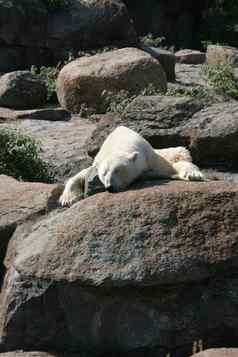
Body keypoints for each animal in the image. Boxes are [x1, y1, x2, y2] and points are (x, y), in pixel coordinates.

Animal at [59, 124, 203, 204]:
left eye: (117, 170)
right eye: (103, 174)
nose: (110, 187)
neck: (117, 145)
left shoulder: (147, 156)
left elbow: (170, 167)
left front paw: (193, 175)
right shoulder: (97, 162)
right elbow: (82, 175)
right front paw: (67, 199)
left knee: (180, 151)